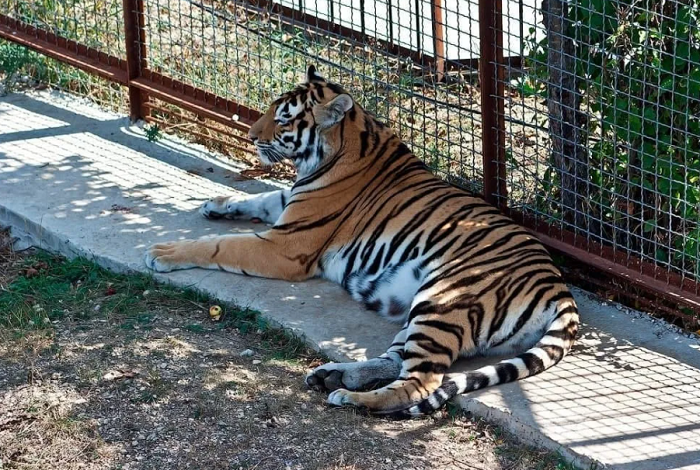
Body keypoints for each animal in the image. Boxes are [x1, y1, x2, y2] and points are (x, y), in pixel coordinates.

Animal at [144, 65, 580, 414]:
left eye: (283, 120)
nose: (250, 135)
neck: (349, 140)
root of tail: (558, 288)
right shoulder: (288, 206)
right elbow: (260, 197)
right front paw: (215, 204)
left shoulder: (285, 246)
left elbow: (219, 245)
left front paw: (162, 252)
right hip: (423, 310)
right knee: (396, 360)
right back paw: (332, 376)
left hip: (444, 299)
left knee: (420, 381)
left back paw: (350, 397)